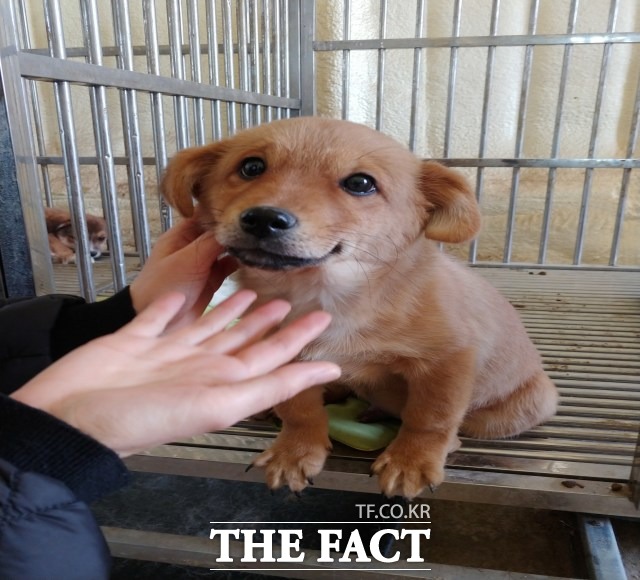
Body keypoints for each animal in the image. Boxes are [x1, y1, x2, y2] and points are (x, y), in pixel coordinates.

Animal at [161, 116, 560, 498]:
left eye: (360, 183)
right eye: (251, 167)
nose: (263, 218)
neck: (324, 295)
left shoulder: (448, 360)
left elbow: (430, 417)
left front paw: (411, 461)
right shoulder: (287, 357)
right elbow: (300, 411)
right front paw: (294, 452)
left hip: (516, 409)